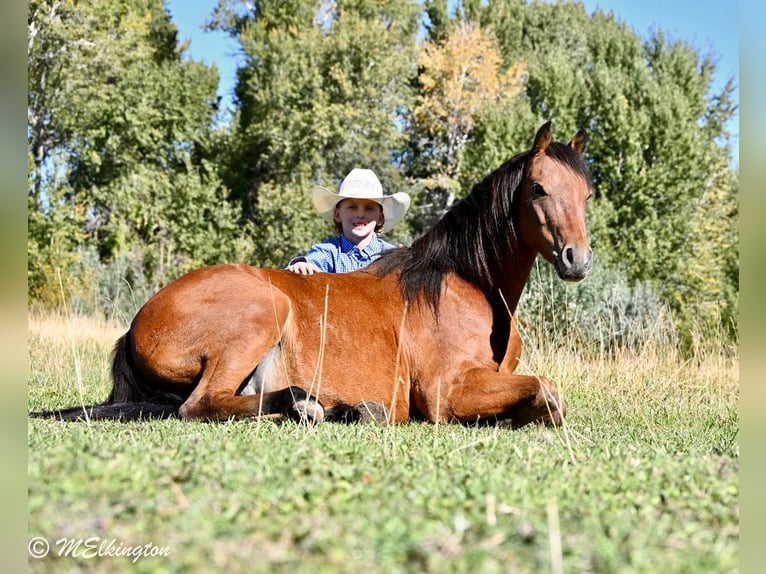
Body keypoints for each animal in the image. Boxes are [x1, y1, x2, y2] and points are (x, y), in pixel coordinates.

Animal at [31, 121, 593, 427]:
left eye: (587, 193)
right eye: (538, 188)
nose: (577, 259)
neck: (465, 286)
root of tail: (137, 323)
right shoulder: (446, 391)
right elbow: (547, 391)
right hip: (264, 311)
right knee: (202, 406)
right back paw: (315, 406)